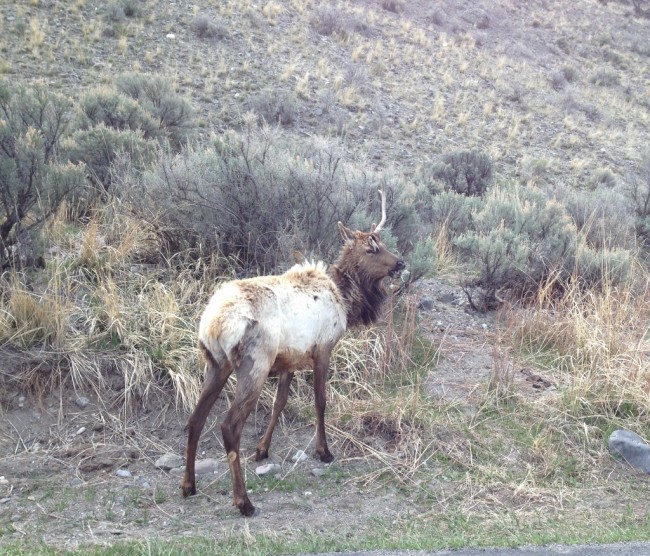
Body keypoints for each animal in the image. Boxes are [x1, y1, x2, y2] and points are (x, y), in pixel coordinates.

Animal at [180, 191, 402, 516]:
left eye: (381, 242)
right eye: (370, 248)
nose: (400, 262)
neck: (345, 301)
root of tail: (214, 323)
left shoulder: (289, 360)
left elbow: (280, 403)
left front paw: (262, 449)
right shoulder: (323, 348)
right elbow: (321, 401)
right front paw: (324, 451)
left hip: (215, 363)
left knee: (196, 418)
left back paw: (188, 485)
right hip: (254, 364)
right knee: (229, 425)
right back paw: (243, 501)